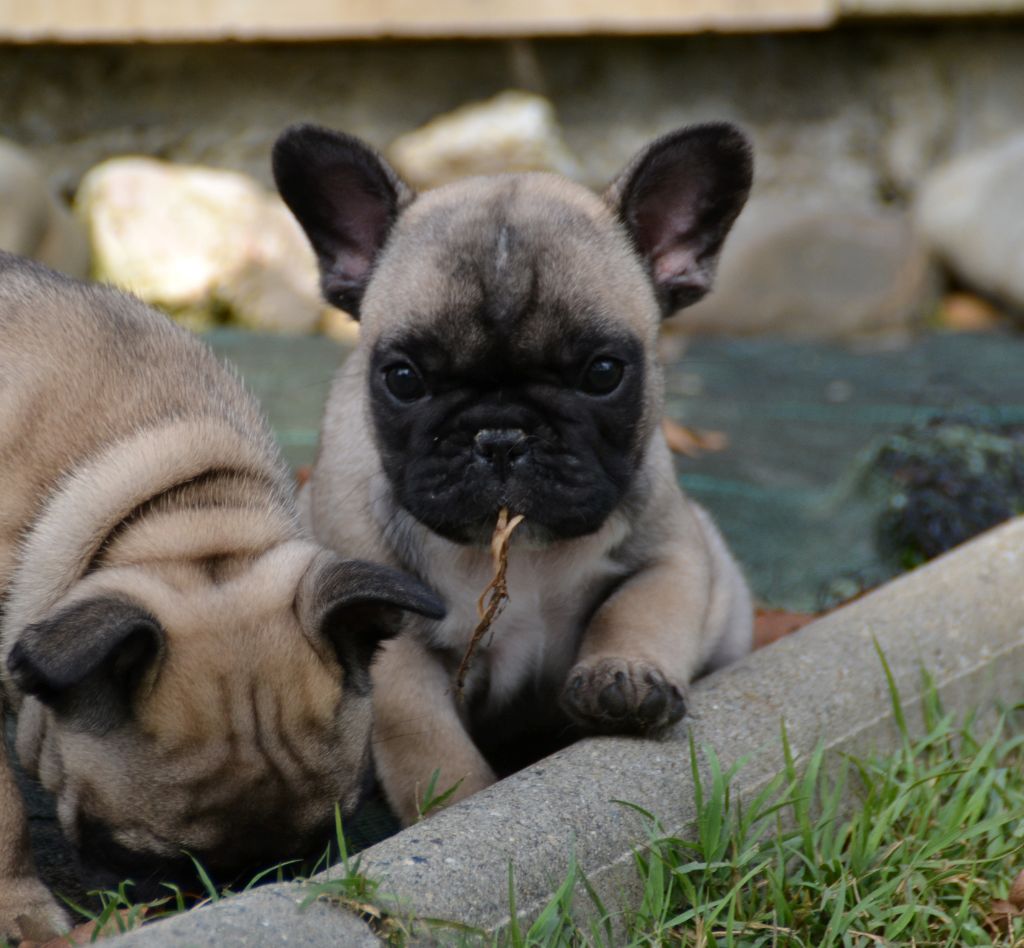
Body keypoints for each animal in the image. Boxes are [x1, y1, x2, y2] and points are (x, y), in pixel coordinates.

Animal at [0, 251, 442, 941]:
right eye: (148, 861)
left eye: (323, 843)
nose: (241, 889)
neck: (181, 516)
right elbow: (4, 812)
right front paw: (22, 910)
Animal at [276, 124, 757, 823]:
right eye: (403, 379)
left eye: (603, 373)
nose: (500, 436)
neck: (518, 552)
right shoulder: (395, 654)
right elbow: (430, 745)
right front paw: (462, 805)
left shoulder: (671, 555)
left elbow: (639, 610)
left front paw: (624, 676)